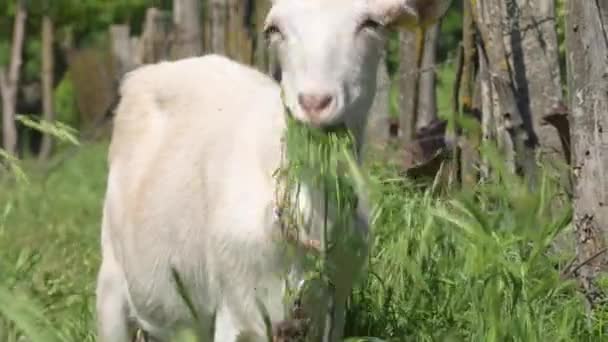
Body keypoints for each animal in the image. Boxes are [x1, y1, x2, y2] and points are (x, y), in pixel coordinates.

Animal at [96, 1, 452, 340]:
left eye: (371, 24)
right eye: (273, 29)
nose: (314, 102)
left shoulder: (333, 306)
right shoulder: (237, 305)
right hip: (111, 279)